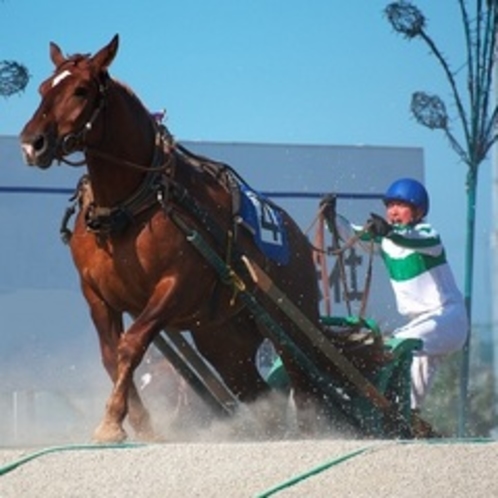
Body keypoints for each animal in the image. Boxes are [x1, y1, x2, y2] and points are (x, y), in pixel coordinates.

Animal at [20, 35, 382, 442]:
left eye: (81, 90)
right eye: (43, 89)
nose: (31, 144)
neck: (129, 207)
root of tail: (303, 244)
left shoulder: (175, 285)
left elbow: (132, 346)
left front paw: (112, 420)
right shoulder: (97, 295)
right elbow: (111, 358)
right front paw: (140, 425)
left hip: (290, 322)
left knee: (306, 386)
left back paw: (310, 432)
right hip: (222, 338)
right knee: (257, 390)